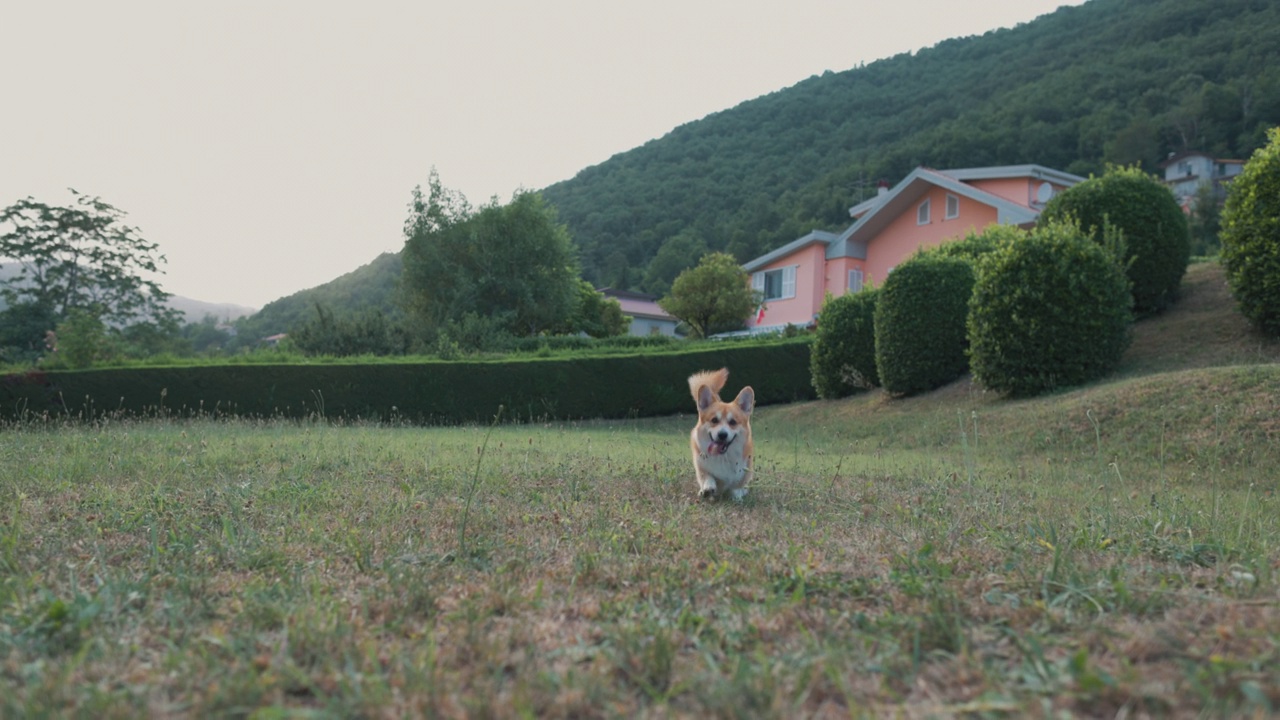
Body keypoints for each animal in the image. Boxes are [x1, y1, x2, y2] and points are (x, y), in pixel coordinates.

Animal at [691, 363, 747, 499]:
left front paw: (737, 496)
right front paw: (708, 488)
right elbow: (707, 476)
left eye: (733, 422)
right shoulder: (701, 464)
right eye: (714, 420)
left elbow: (737, 484)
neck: (723, 456)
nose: (722, 434)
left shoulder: (744, 469)